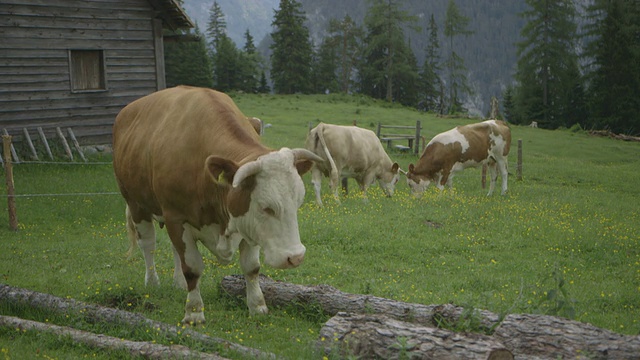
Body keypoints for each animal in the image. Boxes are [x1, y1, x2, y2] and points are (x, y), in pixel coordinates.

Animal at [112, 86, 322, 324]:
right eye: (266, 207)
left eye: (297, 203)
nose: (295, 257)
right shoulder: (176, 217)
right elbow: (192, 267)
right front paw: (194, 312)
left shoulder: (248, 225)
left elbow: (252, 267)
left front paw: (257, 306)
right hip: (137, 205)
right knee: (148, 244)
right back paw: (153, 282)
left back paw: (178, 283)